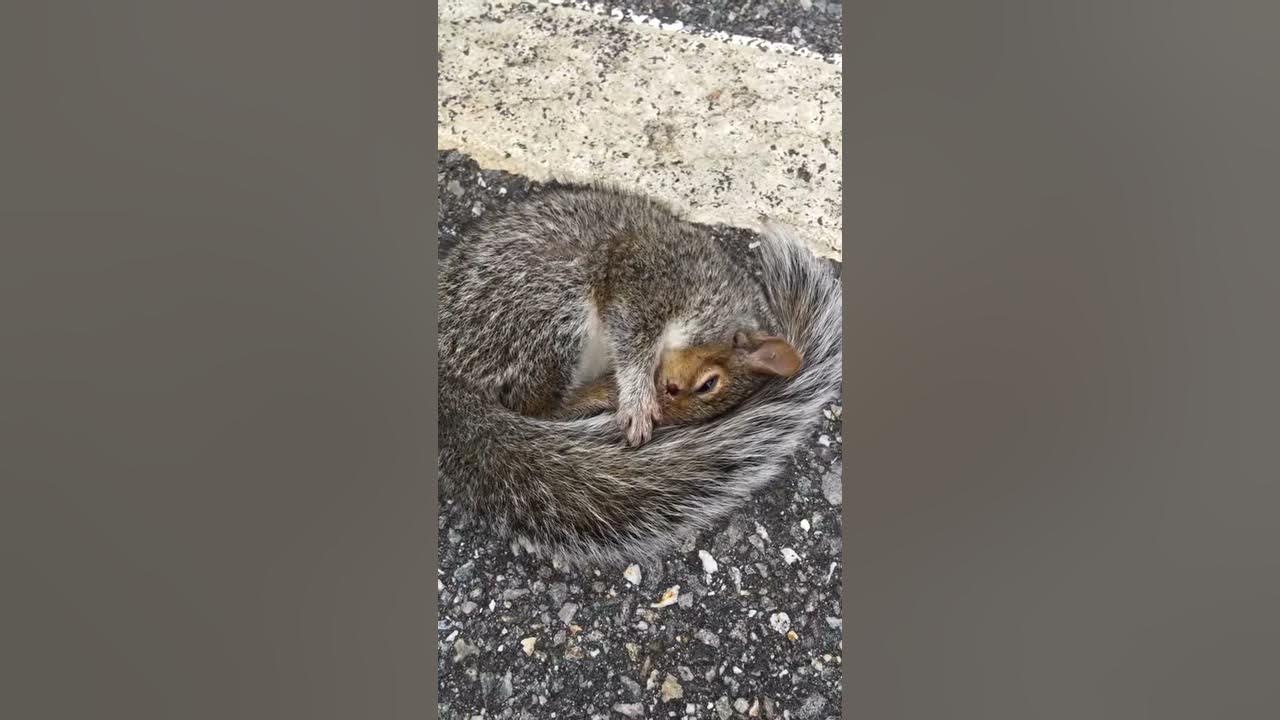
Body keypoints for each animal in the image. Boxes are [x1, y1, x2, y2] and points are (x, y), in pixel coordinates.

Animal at [438, 182, 842, 568]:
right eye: (709, 383)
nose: (663, 409)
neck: (716, 299)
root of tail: (450, 374)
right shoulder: (647, 278)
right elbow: (633, 339)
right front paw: (637, 399)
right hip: (548, 308)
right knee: (541, 405)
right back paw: (605, 392)